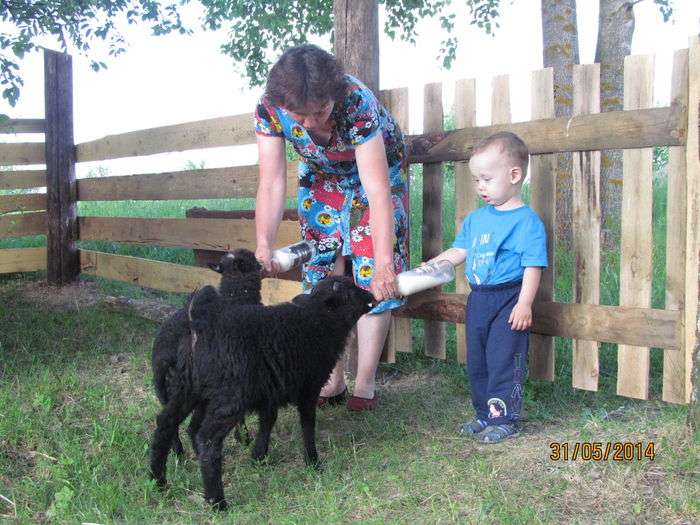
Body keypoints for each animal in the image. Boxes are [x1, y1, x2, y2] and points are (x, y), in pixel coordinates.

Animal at [150, 276, 374, 510]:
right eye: (351, 290)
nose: (372, 295)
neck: (319, 320)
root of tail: (198, 328)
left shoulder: (270, 390)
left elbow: (268, 420)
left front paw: (258, 457)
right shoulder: (308, 388)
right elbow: (307, 425)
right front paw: (313, 462)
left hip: (187, 389)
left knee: (165, 423)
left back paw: (158, 481)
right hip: (231, 397)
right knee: (207, 439)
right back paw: (217, 502)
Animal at [151, 247, 262, 454]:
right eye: (250, 258)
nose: (262, 264)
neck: (235, 297)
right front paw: (243, 438)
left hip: (169, 392)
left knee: (175, 423)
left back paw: (180, 453)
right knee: (190, 426)